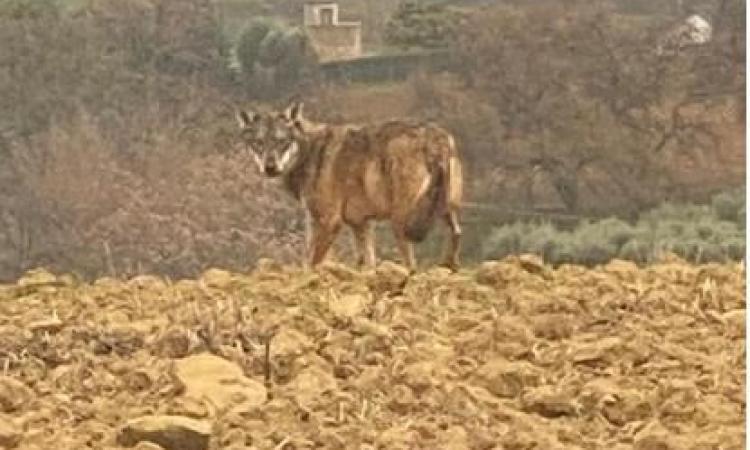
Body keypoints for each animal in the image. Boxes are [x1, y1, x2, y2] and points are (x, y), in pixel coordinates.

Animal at [235, 102, 463, 272]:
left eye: (281, 141)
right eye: (258, 143)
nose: (270, 168)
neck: (309, 152)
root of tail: (437, 140)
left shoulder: (328, 221)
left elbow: (311, 263)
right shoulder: (360, 224)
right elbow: (367, 262)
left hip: (401, 223)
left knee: (411, 265)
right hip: (446, 210)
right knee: (457, 233)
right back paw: (449, 267)